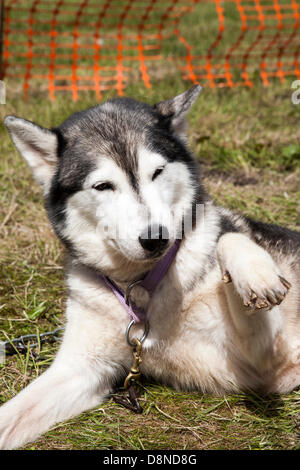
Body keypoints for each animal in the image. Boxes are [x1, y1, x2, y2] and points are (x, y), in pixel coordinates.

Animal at [1, 86, 300, 450]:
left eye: (157, 172)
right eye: (103, 186)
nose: (156, 238)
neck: (143, 285)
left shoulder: (268, 360)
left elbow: (228, 238)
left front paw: (256, 275)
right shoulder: (80, 369)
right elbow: (11, 414)